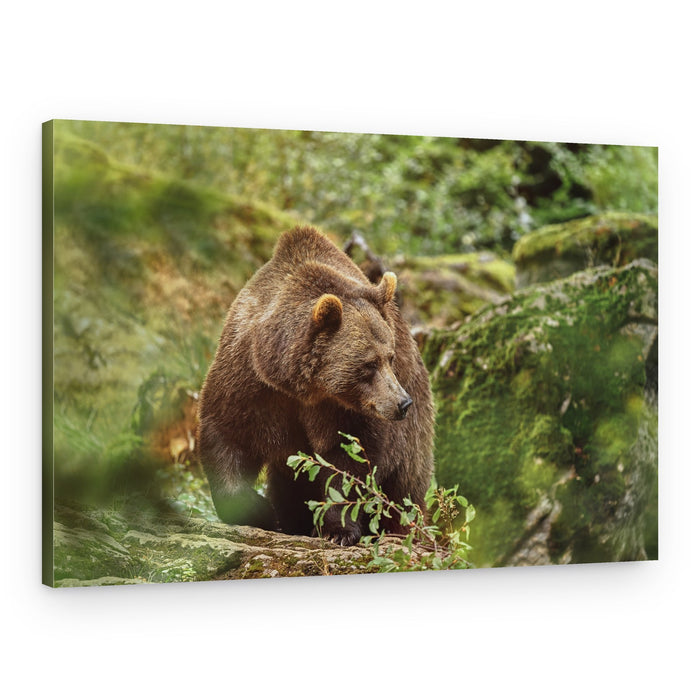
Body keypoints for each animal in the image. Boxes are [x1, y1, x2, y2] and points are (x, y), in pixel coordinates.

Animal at [197, 225, 434, 546]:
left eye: (391, 357)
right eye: (369, 364)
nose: (402, 403)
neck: (302, 387)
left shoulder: (344, 411)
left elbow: (348, 460)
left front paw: (337, 530)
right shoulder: (249, 379)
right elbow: (225, 433)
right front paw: (261, 511)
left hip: (413, 440)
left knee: (404, 492)